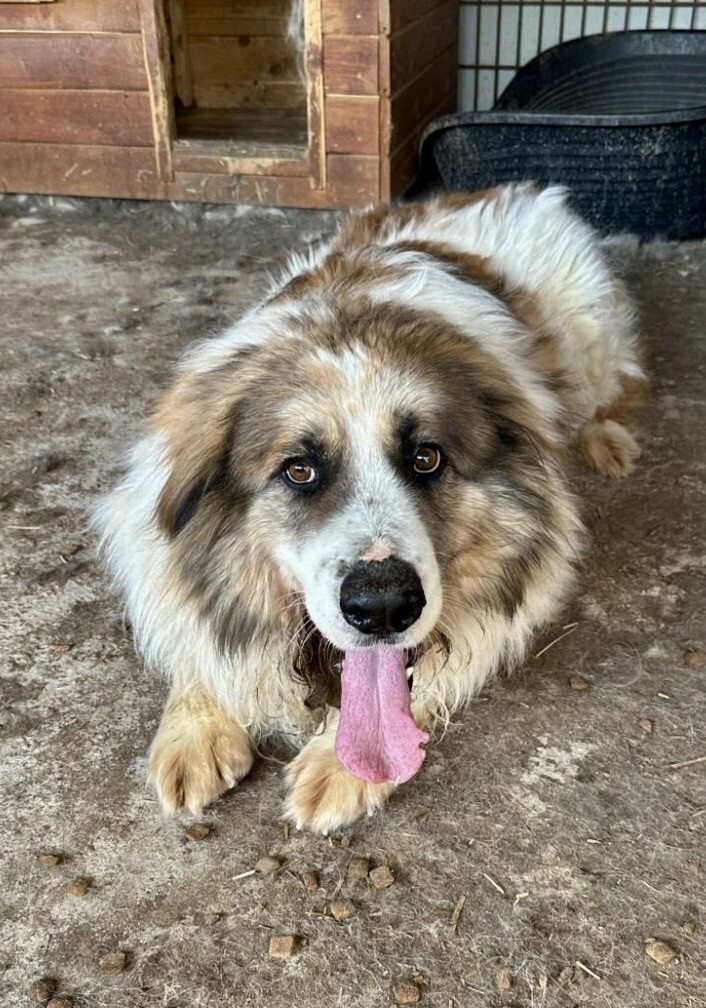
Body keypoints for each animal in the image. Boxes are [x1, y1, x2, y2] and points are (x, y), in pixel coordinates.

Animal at [94, 184, 644, 834]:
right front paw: (196, 725)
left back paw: (604, 440)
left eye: (426, 458)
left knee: (609, 389)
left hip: (590, 334)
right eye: (299, 470)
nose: (382, 607)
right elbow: (194, 632)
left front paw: (342, 767)